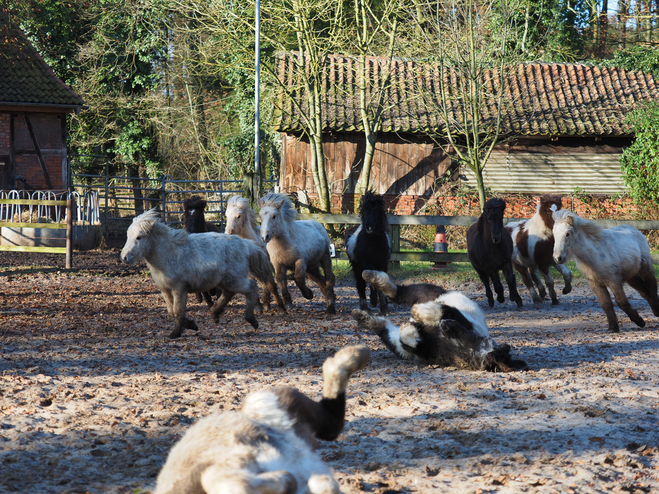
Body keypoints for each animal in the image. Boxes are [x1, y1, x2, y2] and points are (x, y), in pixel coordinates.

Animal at [120, 208, 272, 340]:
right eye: (128, 235)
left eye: (139, 237)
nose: (124, 257)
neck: (169, 254)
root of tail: (246, 244)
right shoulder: (165, 290)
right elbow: (171, 311)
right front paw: (191, 325)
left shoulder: (179, 289)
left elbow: (177, 311)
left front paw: (176, 333)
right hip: (226, 281)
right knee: (229, 294)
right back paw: (215, 314)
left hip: (235, 280)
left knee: (251, 287)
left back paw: (252, 320)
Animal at [356, 270, 532, 370]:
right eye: (478, 339)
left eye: (472, 340)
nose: (445, 326)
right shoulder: (459, 317)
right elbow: (444, 310)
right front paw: (418, 314)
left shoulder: (424, 350)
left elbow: (410, 338)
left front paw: (411, 324)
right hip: (428, 293)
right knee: (399, 292)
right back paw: (370, 276)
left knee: (386, 325)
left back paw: (362, 317)